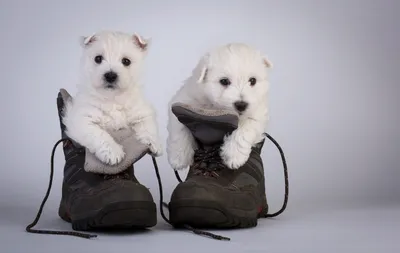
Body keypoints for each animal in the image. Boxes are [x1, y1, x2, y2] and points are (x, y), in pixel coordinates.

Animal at [62, 31, 162, 166]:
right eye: (98, 59)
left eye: (126, 61)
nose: (110, 75)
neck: (112, 98)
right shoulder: (80, 118)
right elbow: (98, 134)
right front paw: (113, 152)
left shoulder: (141, 111)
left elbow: (148, 127)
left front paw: (154, 144)